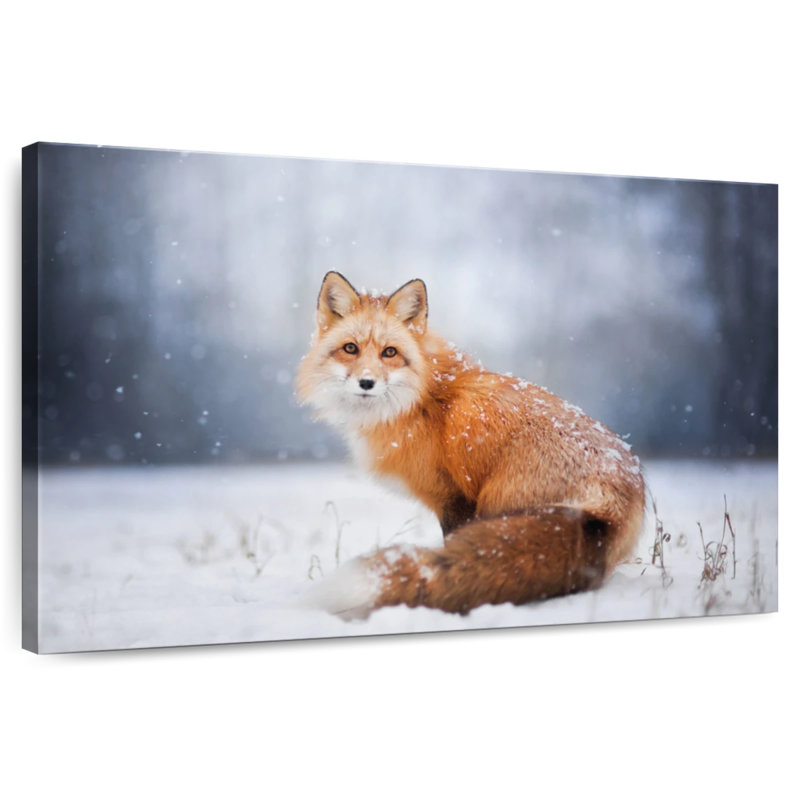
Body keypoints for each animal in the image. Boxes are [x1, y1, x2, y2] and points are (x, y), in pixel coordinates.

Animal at [296, 271, 645, 618]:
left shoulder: (454, 498)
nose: (366, 382)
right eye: (350, 348)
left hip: (495, 505)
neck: (422, 398)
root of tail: (611, 503)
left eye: (389, 352)